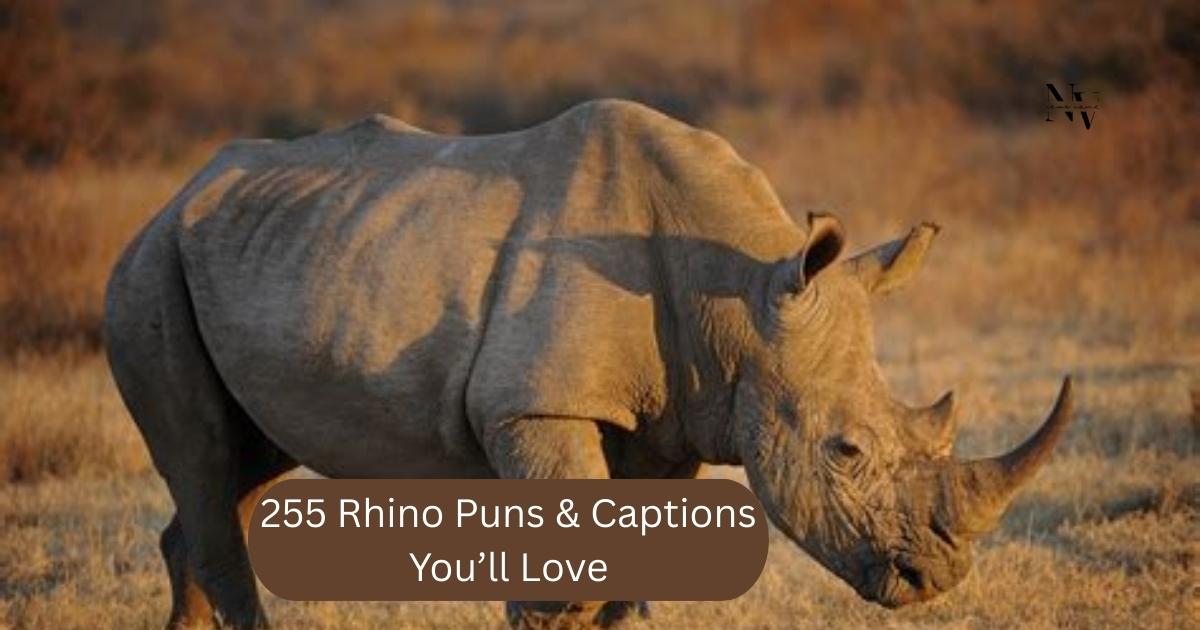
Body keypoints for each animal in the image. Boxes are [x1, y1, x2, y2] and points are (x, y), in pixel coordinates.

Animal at [104, 99, 1073, 629]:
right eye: (846, 452)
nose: (937, 580)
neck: (740, 299)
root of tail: (177, 194)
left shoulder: (678, 412)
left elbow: (619, 583)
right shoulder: (534, 405)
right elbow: (561, 584)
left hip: (264, 252)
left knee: (239, 466)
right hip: (149, 268)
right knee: (203, 458)